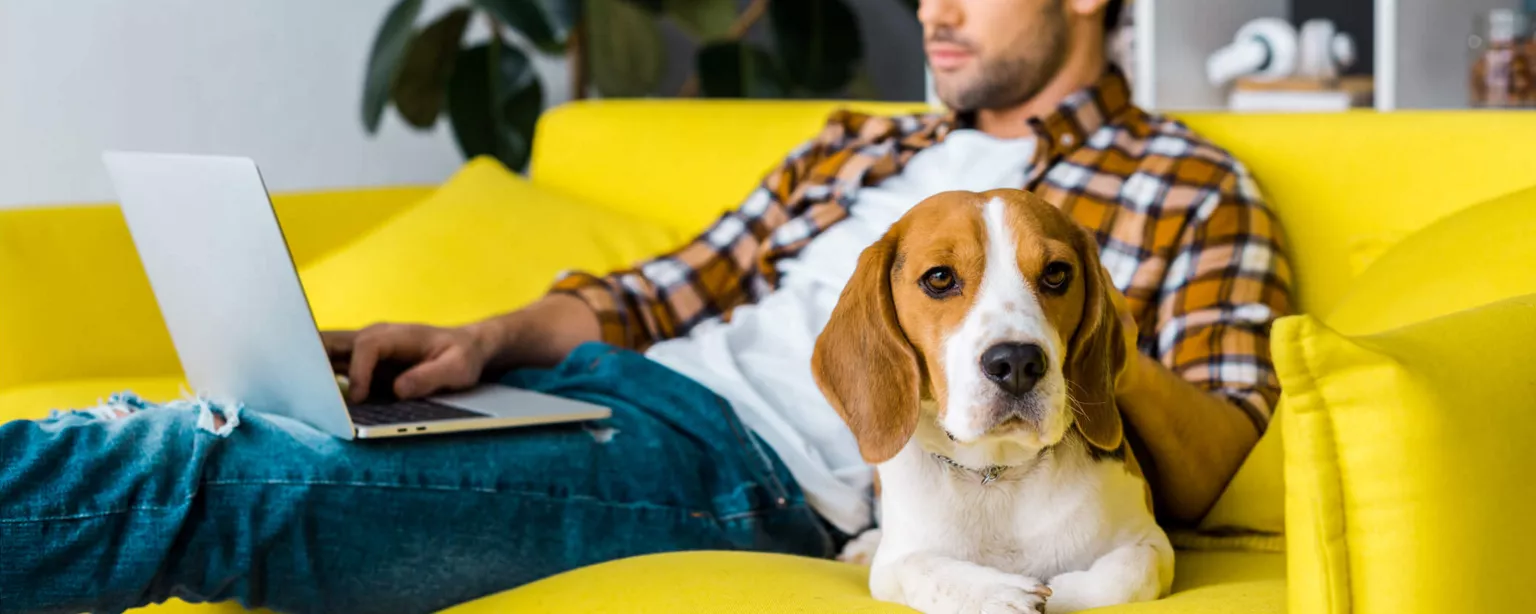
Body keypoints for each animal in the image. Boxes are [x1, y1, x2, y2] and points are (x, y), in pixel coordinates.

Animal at [811, 189, 1167, 610]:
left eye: (1056, 273)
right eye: (939, 277)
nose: (1017, 362)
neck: (996, 475)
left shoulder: (1153, 543)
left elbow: (1130, 571)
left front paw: (1060, 594)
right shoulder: (892, 568)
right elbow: (922, 568)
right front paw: (999, 594)